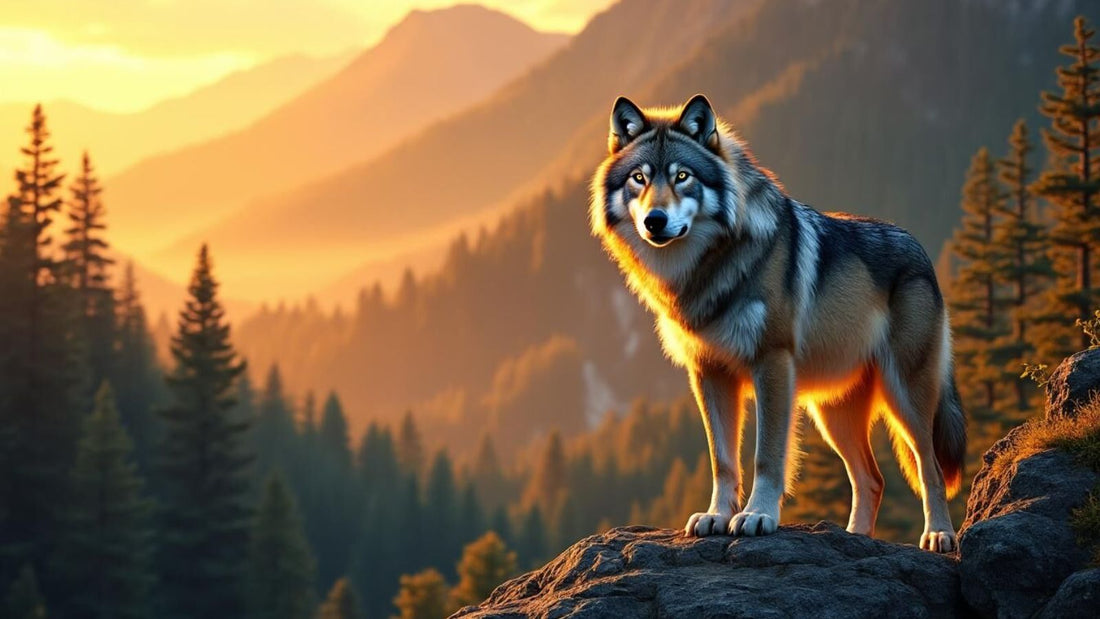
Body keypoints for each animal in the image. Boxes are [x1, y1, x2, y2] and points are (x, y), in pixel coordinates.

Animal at [589, 94, 966, 552]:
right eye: (639, 178)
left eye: (682, 176)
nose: (654, 221)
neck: (710, 268)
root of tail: (921, 251)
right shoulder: (708, 373)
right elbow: (722, 460)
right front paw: (717, 516)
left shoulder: (771, 363)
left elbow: (766, 456)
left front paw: (756, 516)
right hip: (833, 415)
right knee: (871, 479)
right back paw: (856, 538)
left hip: (905, 397)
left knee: (930, 468)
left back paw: (939, 534)